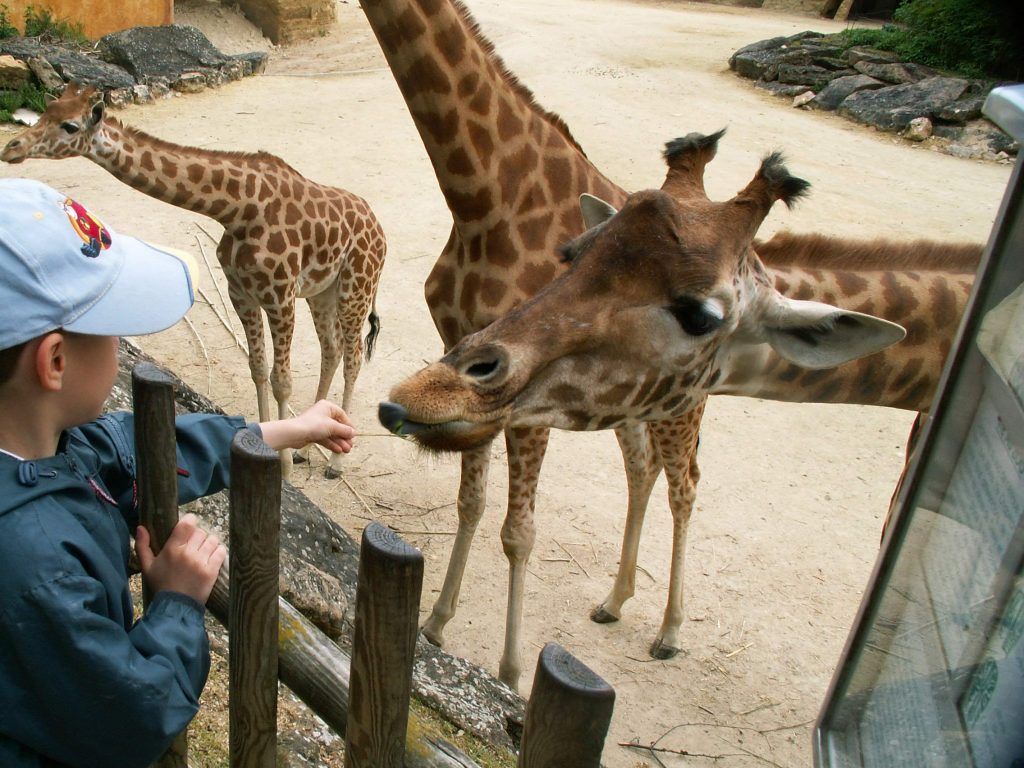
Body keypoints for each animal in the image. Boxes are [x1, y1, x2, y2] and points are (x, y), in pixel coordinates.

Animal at [3, 87, 387, 479]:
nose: (12, 148)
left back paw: (337, 462)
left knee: (354, 356)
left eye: (70, 125)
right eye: (47, 111)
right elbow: (258, 370)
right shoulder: (242, 293)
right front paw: (279, 444)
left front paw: (282, 469)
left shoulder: (279, 295)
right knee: (332, 349)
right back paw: (309, 447)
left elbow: (282, 380)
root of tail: (378, 228)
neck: (238, 209)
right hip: (322, 291)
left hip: (357, 285)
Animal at [378, 132, 983, 663]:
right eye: (571, 254)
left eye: (700, 315)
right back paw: (617, 601)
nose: (421, 394)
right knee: (645, 469)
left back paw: (668, 631)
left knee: (683, 483)